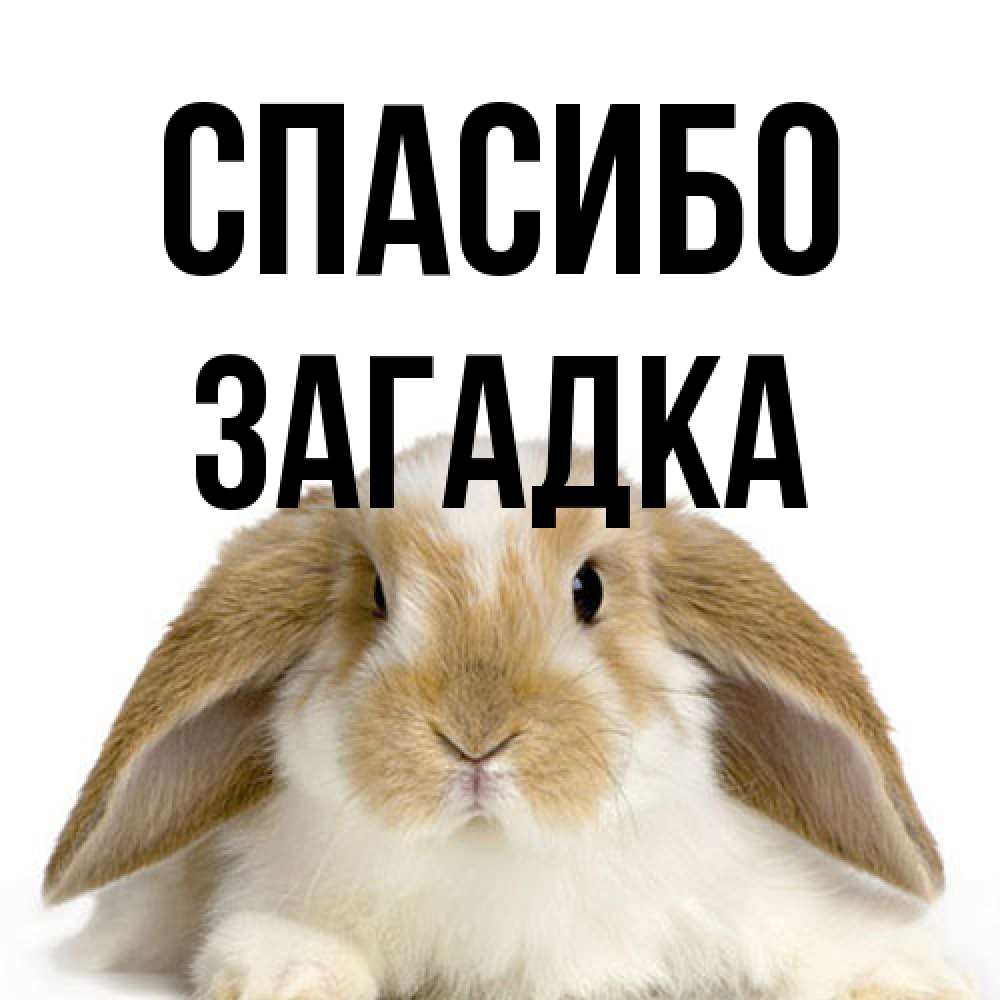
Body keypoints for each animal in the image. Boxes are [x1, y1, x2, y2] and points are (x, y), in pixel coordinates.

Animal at [45, 436, 975, 1000]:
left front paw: (909, 977)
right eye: (376, 596)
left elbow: (817, 939)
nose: (475, 737)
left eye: (589, 588)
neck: (496, 857)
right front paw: (290, 976)